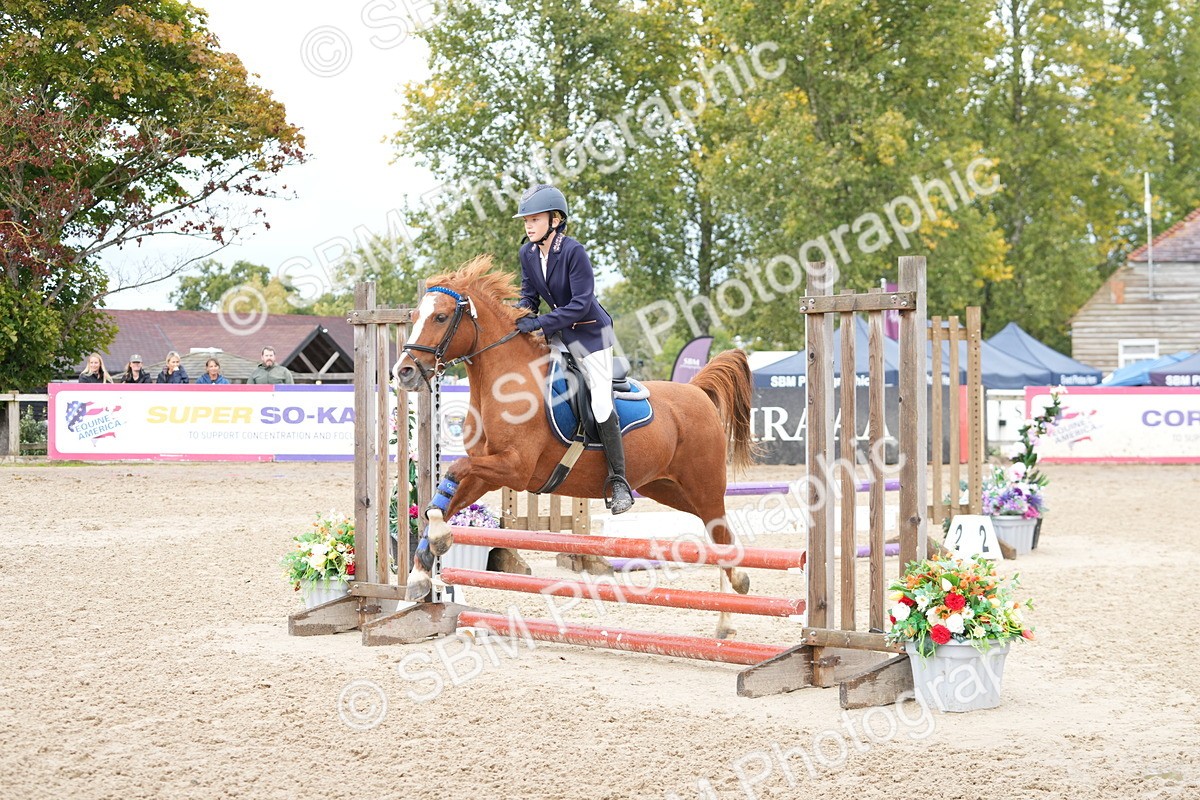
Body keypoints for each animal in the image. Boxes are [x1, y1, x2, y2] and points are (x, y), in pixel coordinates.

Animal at [394, 255, 757, 637]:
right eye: (415, 315)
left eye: (441, 317)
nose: (403, 372)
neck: (506, 384)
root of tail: (696, 390)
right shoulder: (487, 473)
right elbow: (441, 503)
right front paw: (420, 575)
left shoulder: (514, 468)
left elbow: (454, 470)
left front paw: (437, 542)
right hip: (667, 488)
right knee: (716, 533)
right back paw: (727, 613)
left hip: (703, 484)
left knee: (720, 534)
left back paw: (735, 597)